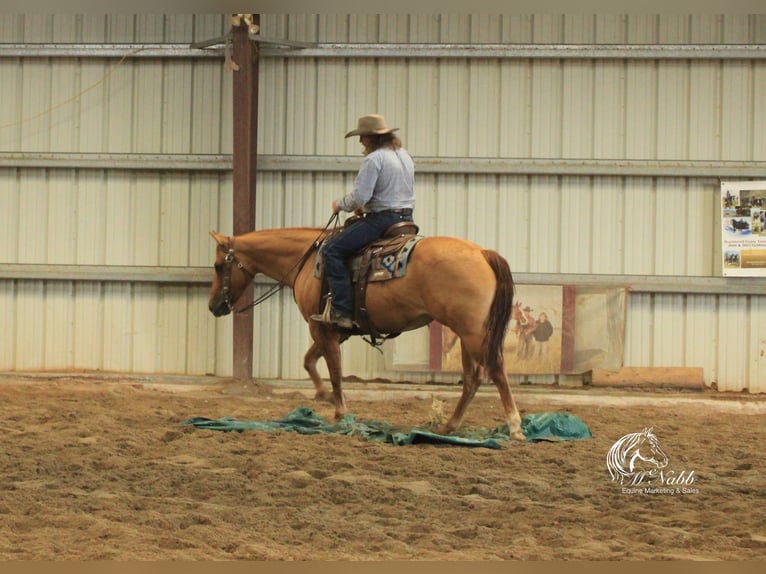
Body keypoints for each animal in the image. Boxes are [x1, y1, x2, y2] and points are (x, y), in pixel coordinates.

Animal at [207, 225, 524, 440]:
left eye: (218, 265)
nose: (213, 306)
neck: (308, 260)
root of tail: (482, 253)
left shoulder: (320, 327)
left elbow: (334, 370)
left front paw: (340, 412)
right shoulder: (334, 329)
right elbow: (310, 360)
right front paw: (323, 395)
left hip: (472, 332)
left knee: (496, 370)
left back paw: (515, 426)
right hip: (465, 333)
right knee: (472, 379)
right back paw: (449, 426)